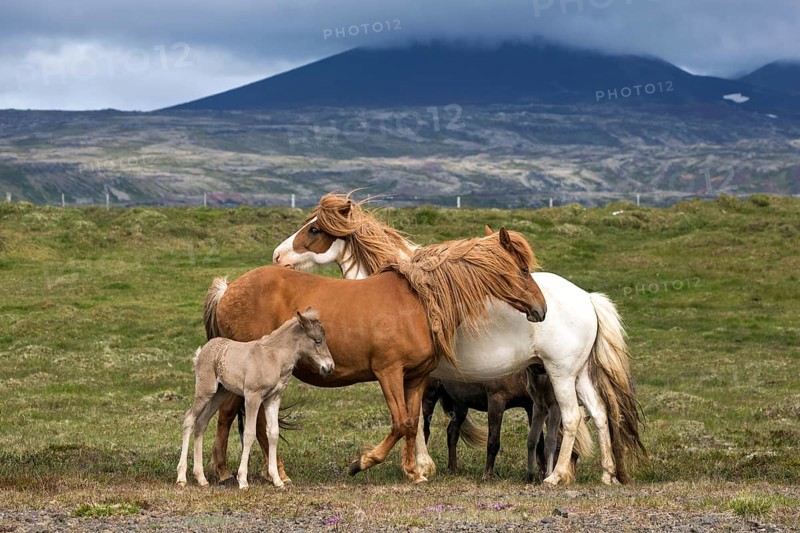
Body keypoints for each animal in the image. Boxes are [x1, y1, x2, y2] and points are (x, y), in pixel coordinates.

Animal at [177, 309, 335, 489]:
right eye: (317, 340)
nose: (330, 367)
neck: (273, 356)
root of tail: (202, 351)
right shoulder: (253, 396)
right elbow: (249, 433)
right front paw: (243, 480)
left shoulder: (273, 398)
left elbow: (273, 433)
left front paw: (277, 480)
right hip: (205, 391)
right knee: (189, 418)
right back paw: (181, 478)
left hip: (219, 393)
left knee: (201, 423)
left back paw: (201, 478)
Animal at [205, 228, 546, 483]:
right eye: (523, 269)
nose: (541, 309)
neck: (420, 302)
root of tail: (228, 289)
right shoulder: (389, 372)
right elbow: (400, 423)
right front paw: (364, 462)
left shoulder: (416, 378)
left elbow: (411, 423)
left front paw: (413, 472)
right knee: (238, 417)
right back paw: (243, 473)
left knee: (240, 417)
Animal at [422, 368, 592, 483]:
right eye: (560, 448)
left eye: (576, 455)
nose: (569, 480)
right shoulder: (496, 402)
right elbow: (493, 442)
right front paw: (487, 475)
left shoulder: (531, 406)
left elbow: (538, 443)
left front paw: (541, 474)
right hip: (430, 396)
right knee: (425, 431)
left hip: (460, 404)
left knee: (452, 433)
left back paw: (453, 469)